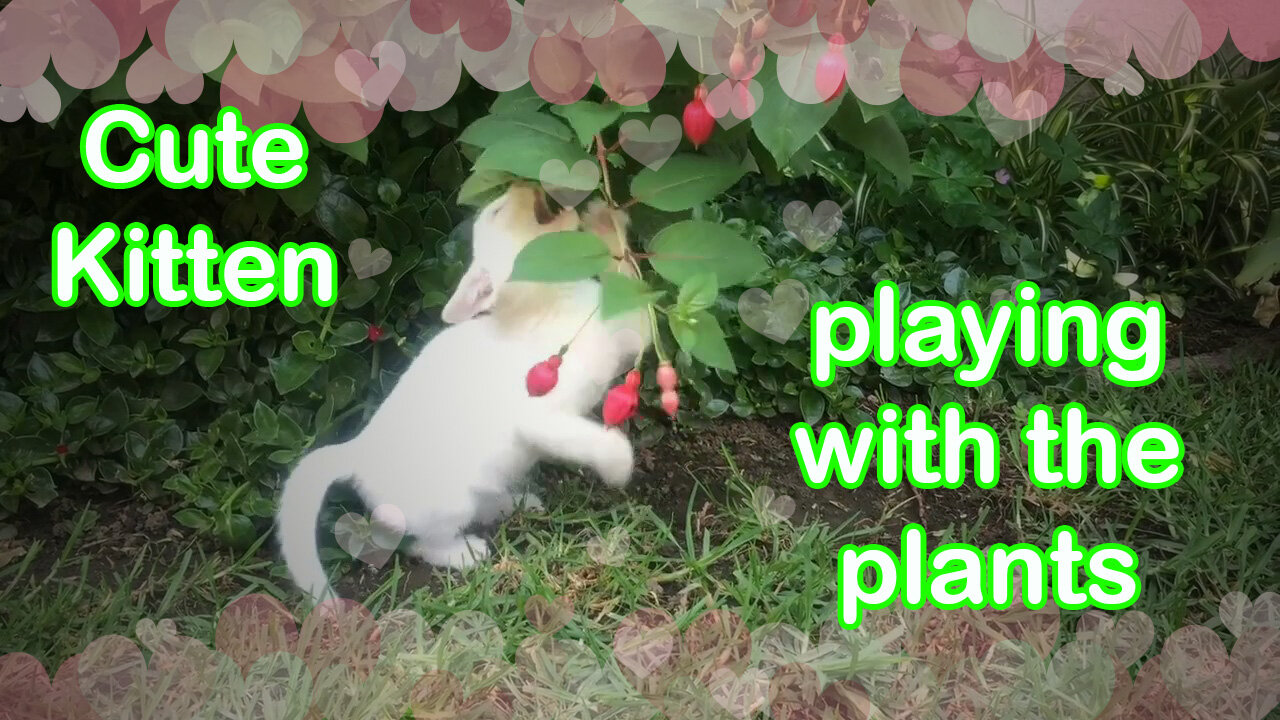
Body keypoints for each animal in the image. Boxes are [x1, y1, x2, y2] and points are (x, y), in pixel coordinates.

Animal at [273, 184, 645, 599]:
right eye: (499, 210)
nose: (524, 184)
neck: (546, 304)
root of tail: (356, 454)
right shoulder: (541, 417)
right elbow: (601, 442)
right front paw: (619, 470)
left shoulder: (631, 330)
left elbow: (628, 280)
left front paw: (606, 219)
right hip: (449, 506)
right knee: (420, 543)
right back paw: (465, 553)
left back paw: (514, 504)